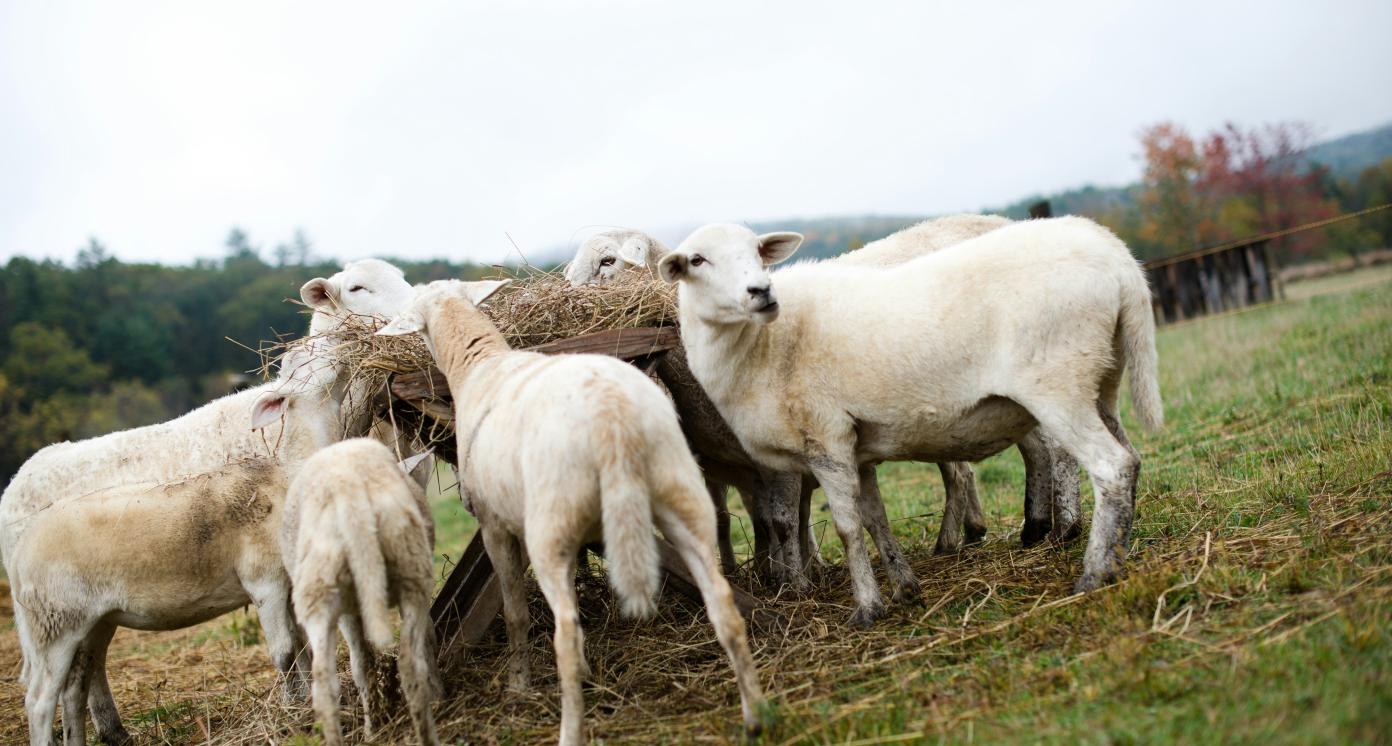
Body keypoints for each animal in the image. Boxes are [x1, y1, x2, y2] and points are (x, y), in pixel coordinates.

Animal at [2, 257, 420, 745]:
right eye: (356, 288)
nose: (415, 309)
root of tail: (20, 476)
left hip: (92, 613)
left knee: (85, 671)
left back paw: (110, 731)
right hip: (56, 615)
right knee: (59, 682)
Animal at [279, 437, 437, 745]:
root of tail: (349, 492)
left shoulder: (347, 611)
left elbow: (362, 663)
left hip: (321, 590)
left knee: (326, 687)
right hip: (410, 570)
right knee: (409, 664)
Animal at [381, 281, 768, 745]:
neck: (480, 366)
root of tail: (612, 417)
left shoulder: (495, 525)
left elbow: (515, 612)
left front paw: (518, 684)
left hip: (551, 527)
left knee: (566, 634)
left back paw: (569, 729)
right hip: (681, 495)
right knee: (723, 604)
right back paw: (755, 715)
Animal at [659, 217, 1163, 629]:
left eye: (758, 251)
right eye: (697, 260)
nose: (761, 291)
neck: (762, 345)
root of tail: (1115, 255)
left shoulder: (826, 440)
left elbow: (843, 527)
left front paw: (865, 606)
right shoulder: (855, 446)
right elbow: (875, 519)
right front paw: (904, 587)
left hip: (1058, 384)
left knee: (1109, 466)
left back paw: (1091, 569)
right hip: (1102, 378)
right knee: (1130, 458)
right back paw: (1116, 553)